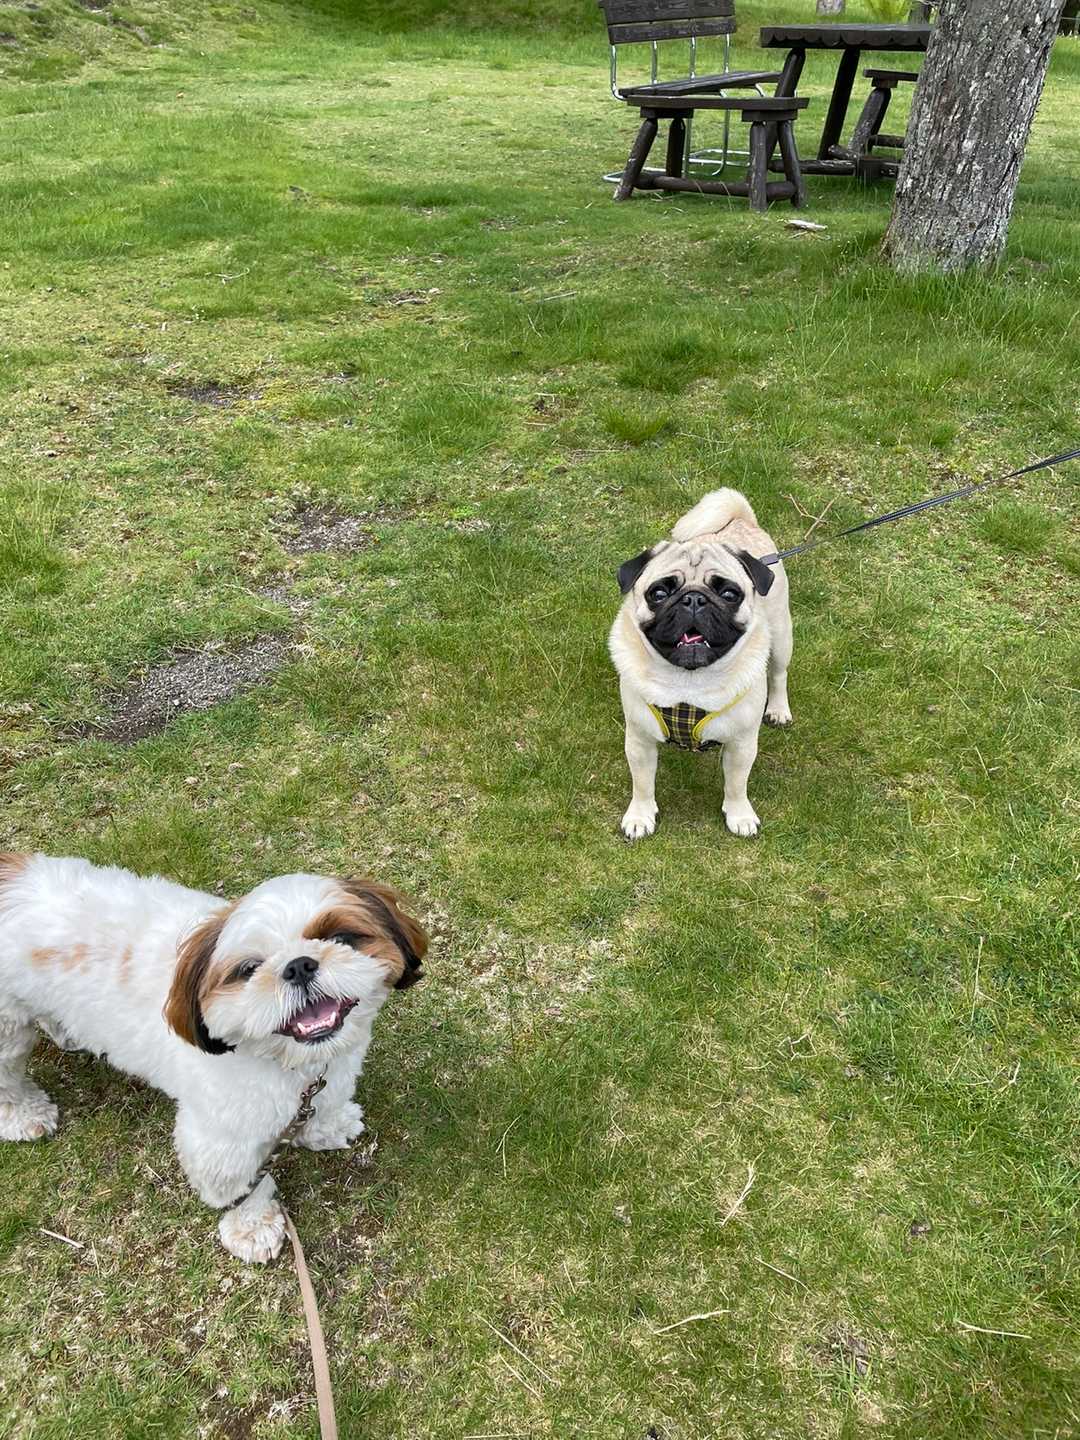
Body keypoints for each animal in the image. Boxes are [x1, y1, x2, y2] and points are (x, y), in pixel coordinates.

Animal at [0, 852, 427, 1262]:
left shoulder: (327, 1079)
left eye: (339, 936)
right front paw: (252, 1228)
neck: (285, 1060)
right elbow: (241, 1186)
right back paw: (25, 1115)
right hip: (7, 1029)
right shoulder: (221, 1140)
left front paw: (327, 1127)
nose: (298, 965)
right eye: (250, 968)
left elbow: (322, 1109)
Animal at [609, 488, 792, 839]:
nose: (694, 598)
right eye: (659, 593)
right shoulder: (639, 740)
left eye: (730, 594)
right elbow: (642, 784)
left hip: (781, 637)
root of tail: (742, 522)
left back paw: (779, 709)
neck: (689, 680)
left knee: (778, 674)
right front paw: (640, 816)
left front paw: (739, 815)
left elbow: (736, 784)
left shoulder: (742, 744)